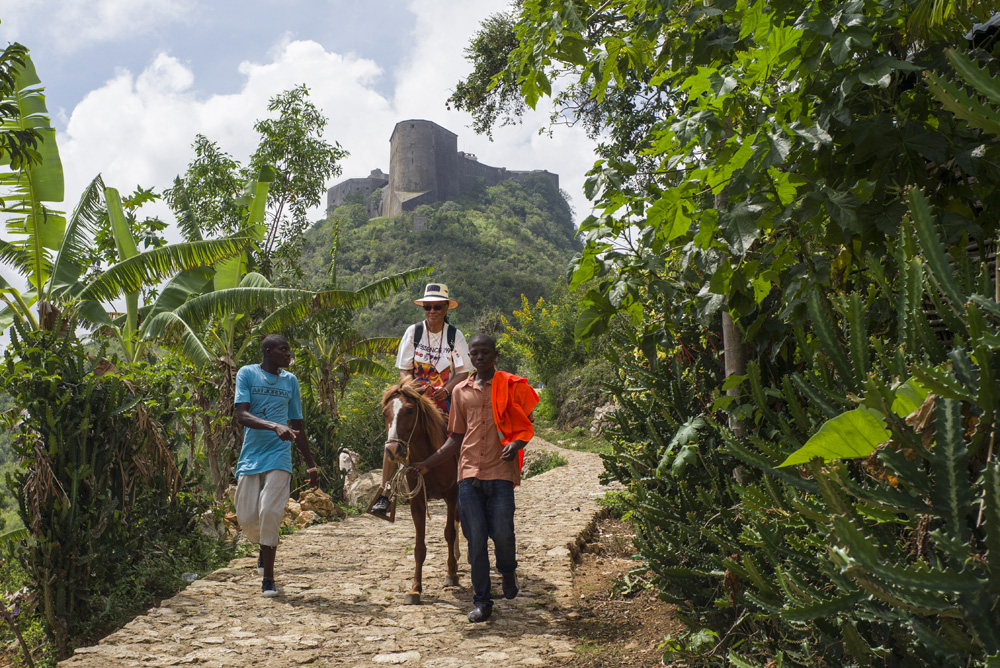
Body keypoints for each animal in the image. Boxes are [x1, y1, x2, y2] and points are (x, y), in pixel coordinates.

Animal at [382, 380, 460, 604]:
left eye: (409, 410)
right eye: (384, 413)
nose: (392, 450)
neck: (430, 457)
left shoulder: (452, 494)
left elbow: (449, 533)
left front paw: (451, 574)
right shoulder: (416, 501)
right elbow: (419, 547)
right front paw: (415, 589)